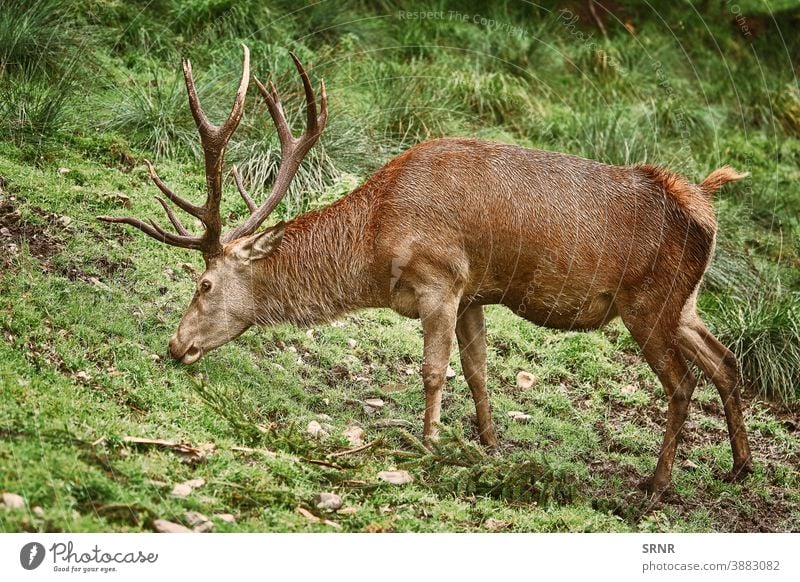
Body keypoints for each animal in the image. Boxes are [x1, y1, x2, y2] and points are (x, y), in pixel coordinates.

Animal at [97, 46, 752, 498]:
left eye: (203, 284)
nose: (176, 345)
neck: (376, 242)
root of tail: (704, 206)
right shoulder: (475, 293)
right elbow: (480, 370)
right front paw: (488, 442)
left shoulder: (441, 279)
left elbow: (435, 371)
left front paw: (431, 443)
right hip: (684, 303)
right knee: (726, 360)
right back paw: (740, 468)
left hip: (648, 303)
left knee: (682, 383)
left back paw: (656, 484)